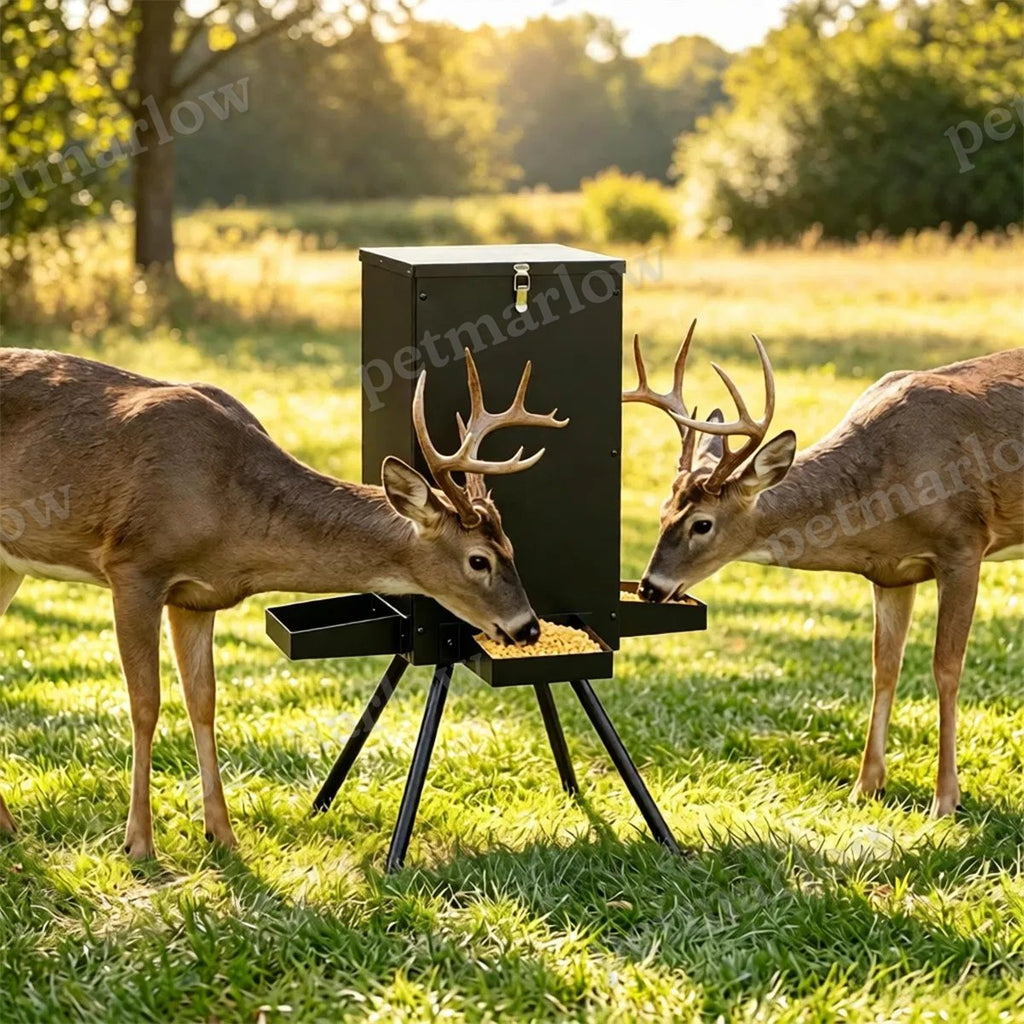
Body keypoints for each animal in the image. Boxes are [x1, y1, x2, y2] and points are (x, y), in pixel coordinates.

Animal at [0, 346, 566, 858]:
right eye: (478, 560)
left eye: (512, 548)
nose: (528, 627)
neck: (228, 505)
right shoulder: (134, 567)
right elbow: (146, 703)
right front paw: (139, 842)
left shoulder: (197, 598)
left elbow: (203, 701)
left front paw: (223, 835)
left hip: (9, 566)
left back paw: (9, 825)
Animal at [623, 321, 1023, 819]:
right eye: (662, 512)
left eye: (702, 523)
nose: (649, 587)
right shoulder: (892, 574)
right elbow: (884, 667)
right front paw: (865, 786)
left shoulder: (964, 546)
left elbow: (946, 668)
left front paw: (945, 799)